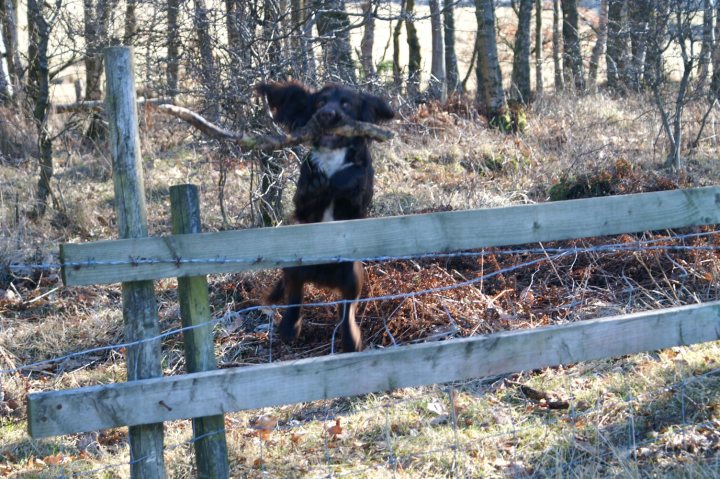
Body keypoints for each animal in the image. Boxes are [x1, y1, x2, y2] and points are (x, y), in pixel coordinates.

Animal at [258, 81, 394, 352]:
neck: (333, 155)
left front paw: (339, 178)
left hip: (352, 272)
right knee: (295, 296)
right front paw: (318, 181)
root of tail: (322, 277)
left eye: (346, 103)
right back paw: (290, 327)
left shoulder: (358, 203)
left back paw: (351, 339)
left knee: (346, 309)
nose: (326, 115)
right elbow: (307, 194)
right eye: (320, 102)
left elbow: (352, 176)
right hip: (295, 265)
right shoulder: (301, 207)